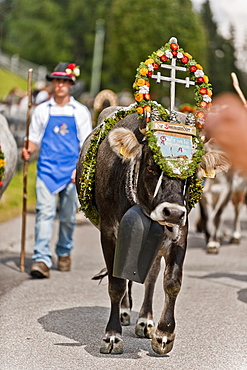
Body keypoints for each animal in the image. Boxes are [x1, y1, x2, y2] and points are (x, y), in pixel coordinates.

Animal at [76, 38, 229, 356]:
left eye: (193, 174)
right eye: (150, 166)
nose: (172, 211)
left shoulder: (179, 231)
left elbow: (171, 281)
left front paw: (164, 334)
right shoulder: (110, 231)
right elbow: (116, 281)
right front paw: (112, 335)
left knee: (150, 274)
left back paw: (145, 320)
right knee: (125, 275)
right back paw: (125, 313)